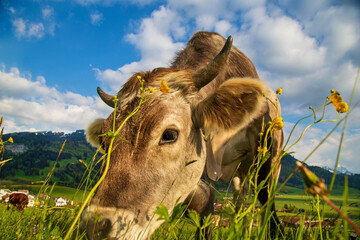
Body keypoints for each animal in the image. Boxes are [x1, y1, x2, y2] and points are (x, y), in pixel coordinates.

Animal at [81, 31, 284, 239]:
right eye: (103, 142)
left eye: (169, 134)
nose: (94, 227)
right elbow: (204, 200)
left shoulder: (262, 139)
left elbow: (265, 195)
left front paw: (276, 231)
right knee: (239, 199)